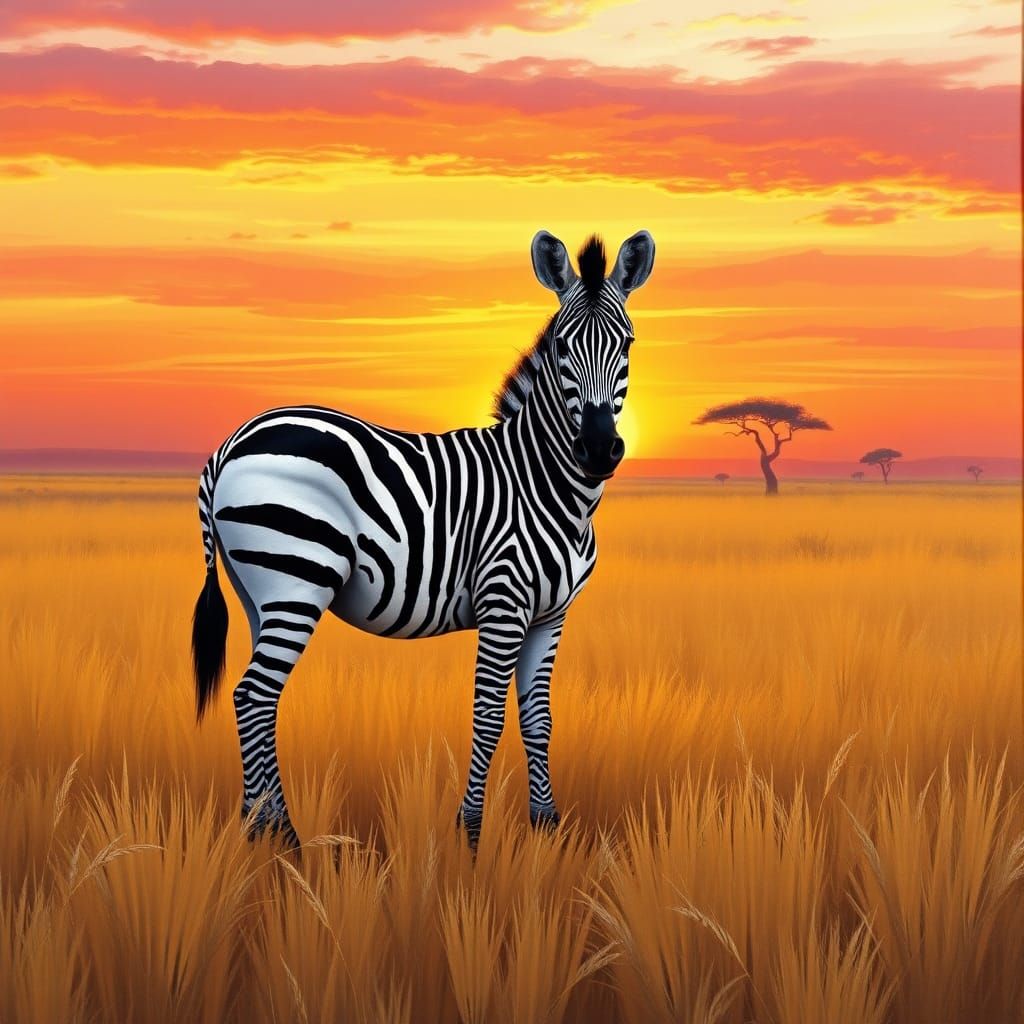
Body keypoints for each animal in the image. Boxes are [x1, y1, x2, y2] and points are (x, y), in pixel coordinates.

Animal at [191, 230, 655, 849]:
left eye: (627, 343)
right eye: (562, 347)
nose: (600, 449)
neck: (544, 483)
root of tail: (231, 443)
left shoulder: (550, 616)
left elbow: (538, 718)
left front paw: (546, 829)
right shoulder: (503, 601)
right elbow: (488, 714)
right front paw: (471, 834)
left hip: (257, 592)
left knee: (255, 698)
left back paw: (257, 830)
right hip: (297, 580)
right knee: (254, 695)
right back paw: (285, 836)